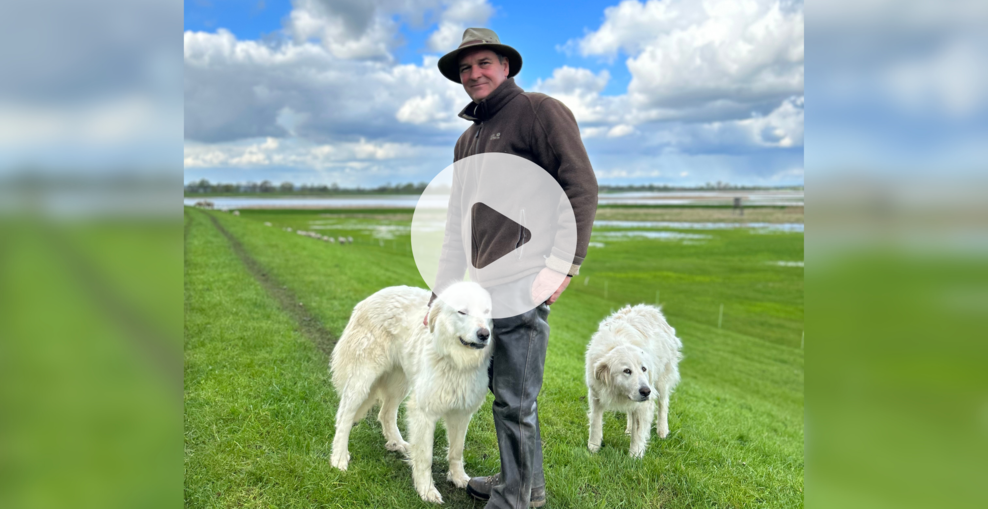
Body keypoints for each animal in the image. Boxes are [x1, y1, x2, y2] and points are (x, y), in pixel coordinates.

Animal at [328, 282, 494, 504]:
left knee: (385, 413)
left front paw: (459, 478)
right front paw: (426, 490)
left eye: (487, 312)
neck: (456, 362)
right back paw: (339, 457)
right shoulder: (424, 412)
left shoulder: (462, 413)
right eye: (462, 311)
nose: (484, 334)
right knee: (344, 417)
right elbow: (425, 457)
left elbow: (457, 450)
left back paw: (397, 443)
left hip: (400, 383)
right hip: (362, 381)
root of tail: (370, 298)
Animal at [584, 304, 684, 458]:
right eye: (627, 371)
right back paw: (629, 429)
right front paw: (593, 448)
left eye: (644, 369)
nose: (646, 391)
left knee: (663, 405)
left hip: (661, 382)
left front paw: (635, 456)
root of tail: (651, 309)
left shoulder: (645, 403)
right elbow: (596, 422)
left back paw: (662, 431)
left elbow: (639, 431)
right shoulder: (596, 395)